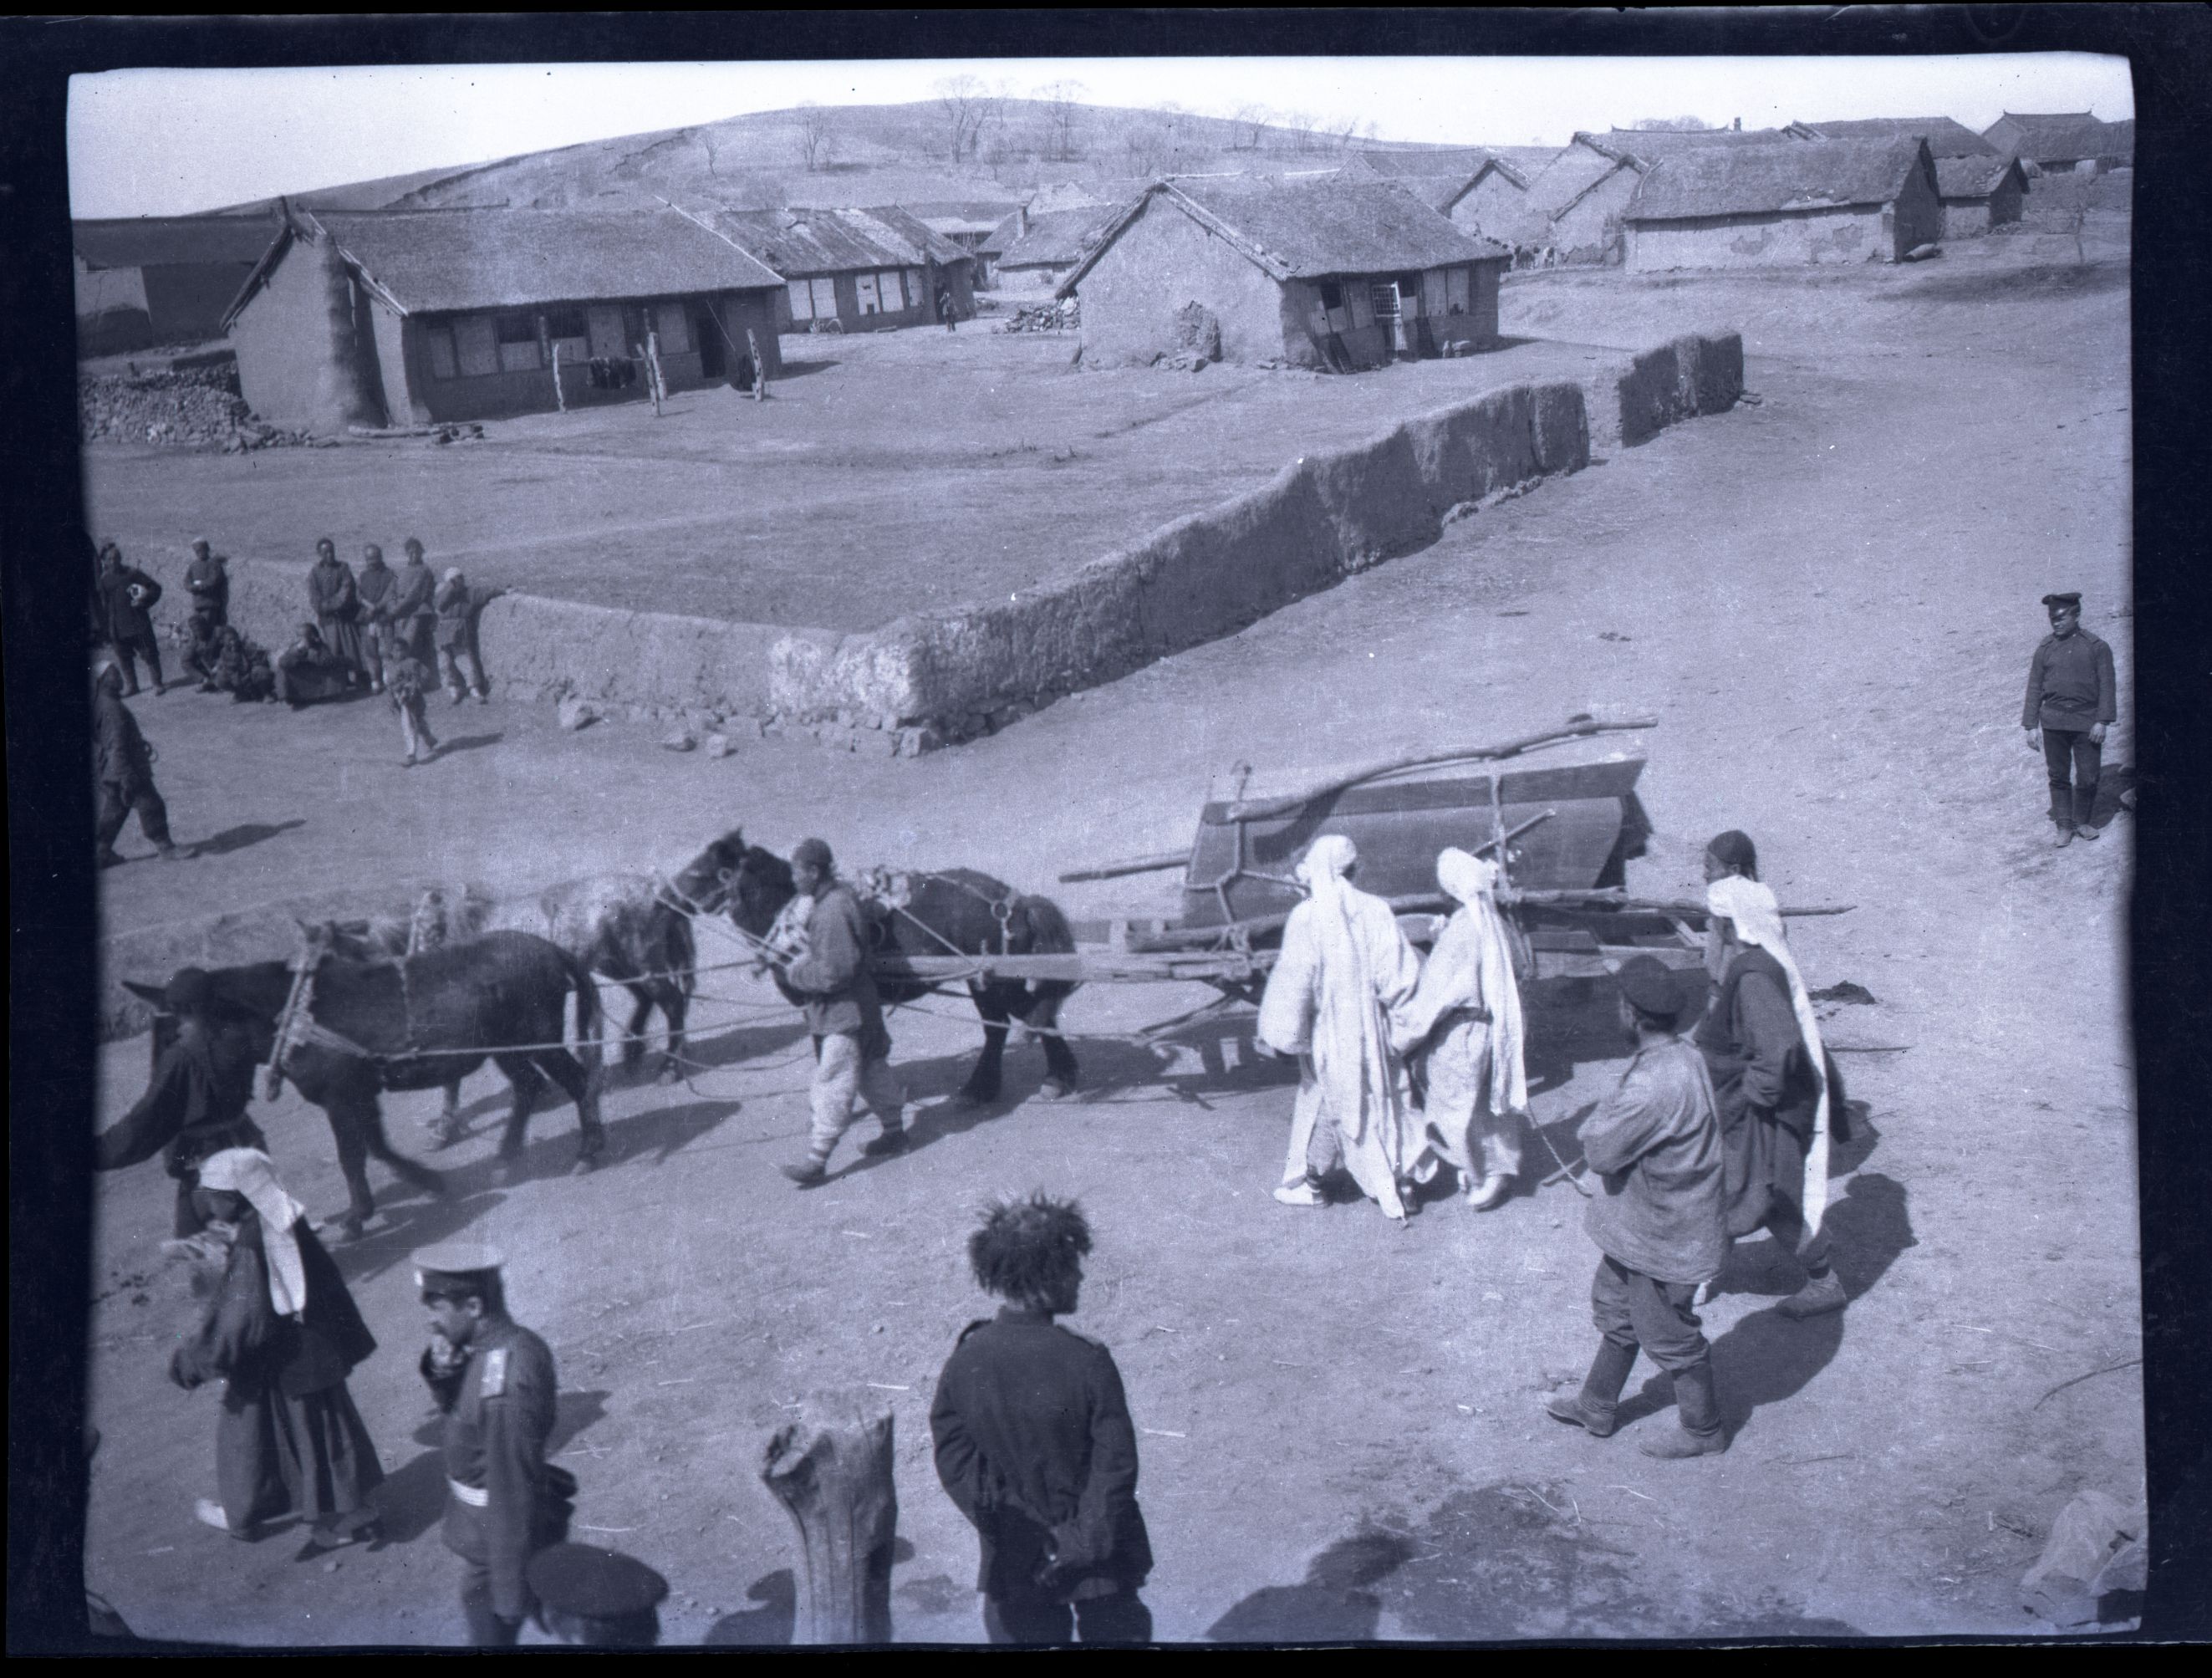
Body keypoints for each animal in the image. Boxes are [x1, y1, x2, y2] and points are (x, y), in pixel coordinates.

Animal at [124, 929, 605, 1240]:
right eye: (163, 1034)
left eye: (184, 1035)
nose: (174, 1144)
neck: (294, 1017)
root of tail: (552, 948)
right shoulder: (360, 1092)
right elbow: (377, 1146)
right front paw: (427, 1181)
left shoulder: (339, 1097)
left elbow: (351, 1156)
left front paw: (357, 1218)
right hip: (506, 1047)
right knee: (528, 1087)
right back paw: (507, 1157)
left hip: (538, 1036)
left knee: (578, 1081)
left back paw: (588, 1152)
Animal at [669, 830, 1082, 1105]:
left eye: (704, 868)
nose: (670, 894)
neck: (791, 913)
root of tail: (1014, 902)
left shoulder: (817, 1002)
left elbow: (824, 1050)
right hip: (984, 981)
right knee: (1010, 1024)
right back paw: (992, 1087)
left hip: (996, 981)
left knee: (1030, 1018)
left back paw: (1046, 1081)